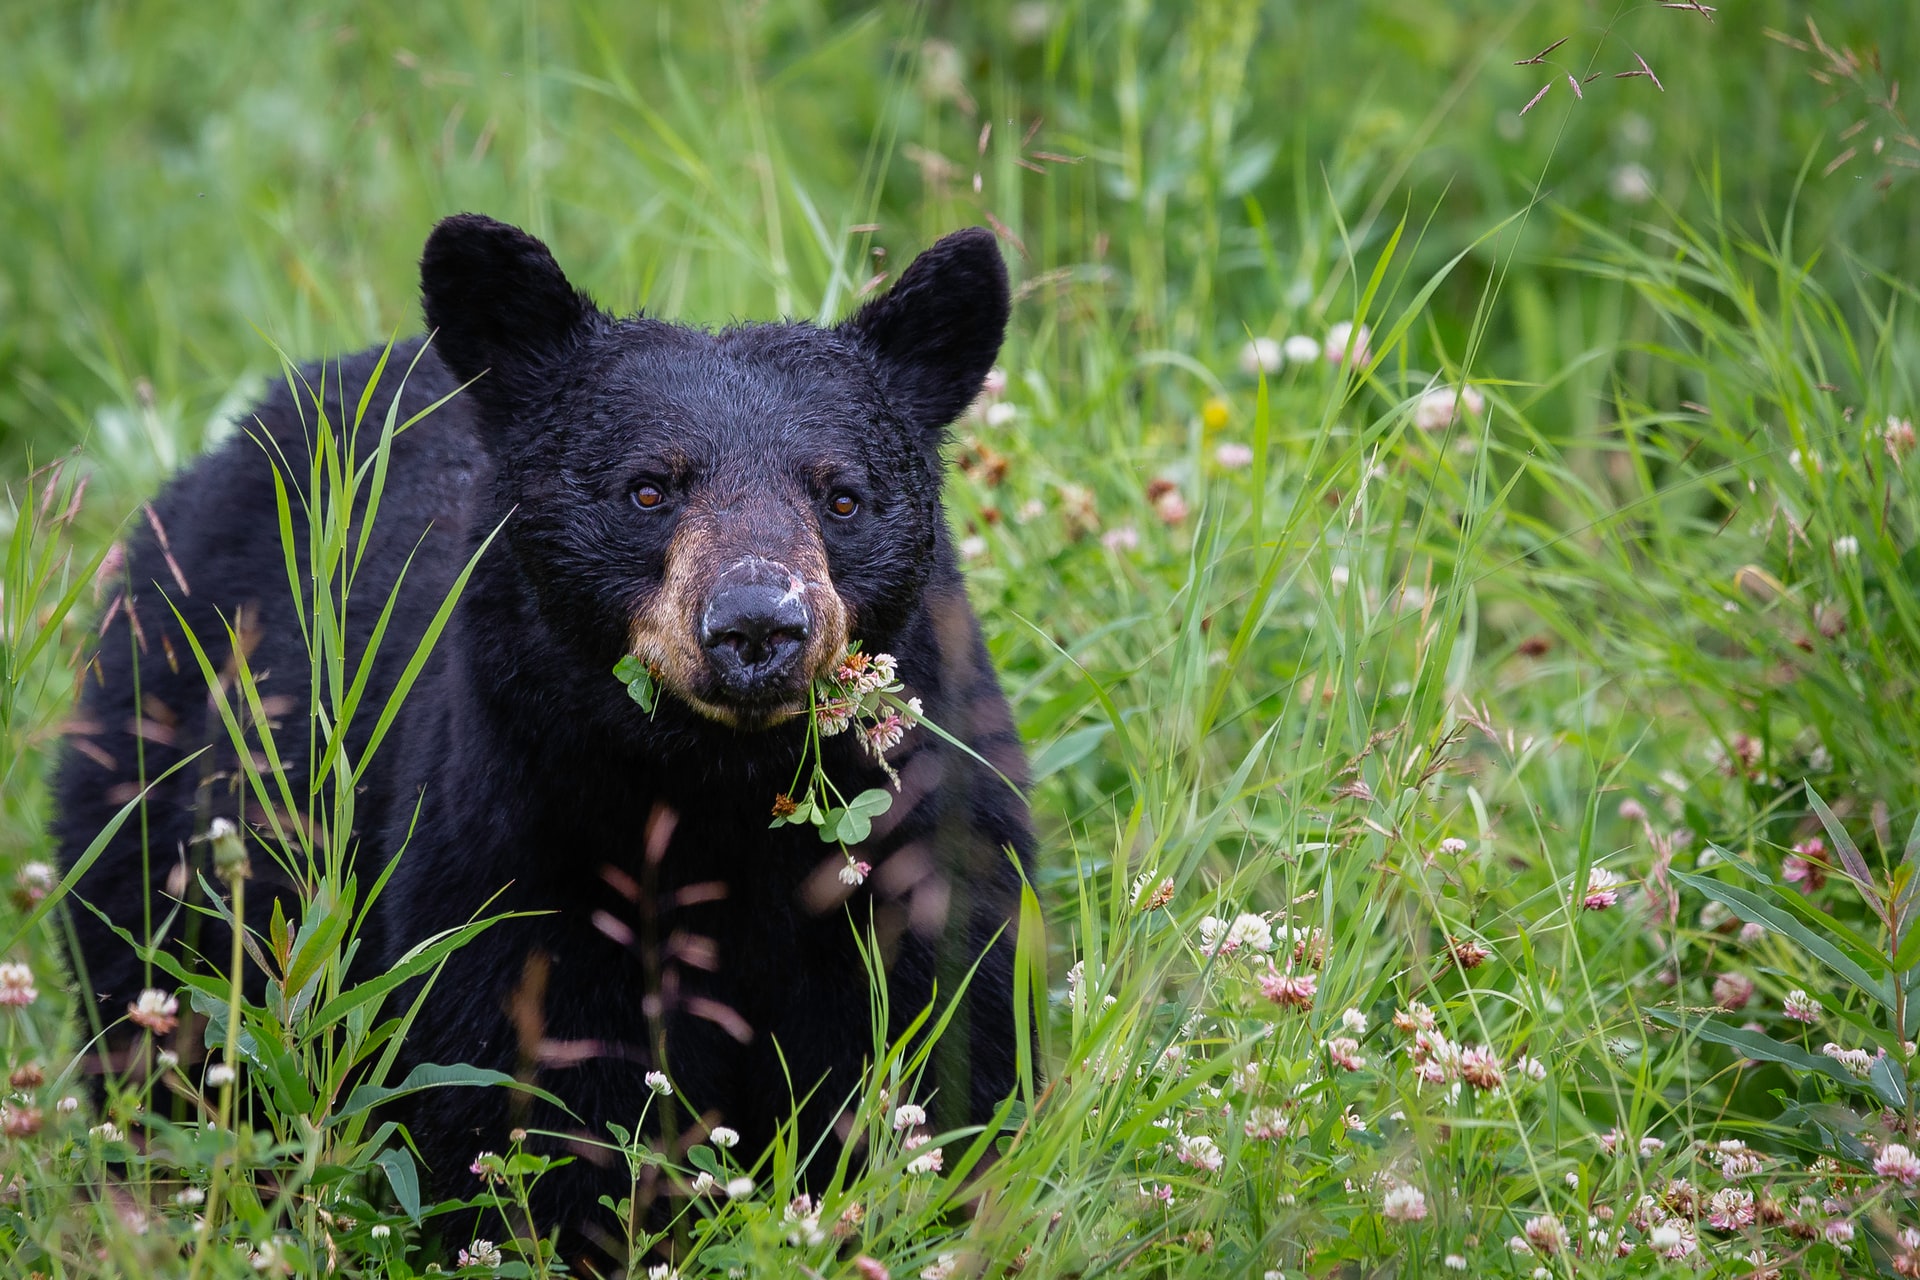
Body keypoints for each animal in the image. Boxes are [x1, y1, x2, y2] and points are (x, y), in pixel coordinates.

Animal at [51, 213, 1035, 1260]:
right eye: (648, 490)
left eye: (841, 496)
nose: (756, 627)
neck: (718, 792)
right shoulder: (514, 843)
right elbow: (523, 1089)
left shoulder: (922, 842)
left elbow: (944, 1050)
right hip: (154, 769)